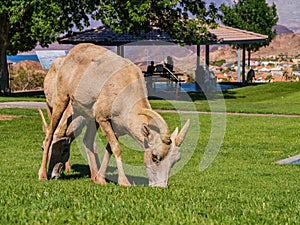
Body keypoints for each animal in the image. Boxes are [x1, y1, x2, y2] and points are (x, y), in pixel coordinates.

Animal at [39, 43, 190, 186]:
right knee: (50, 134)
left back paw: (93, 176)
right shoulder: (102, 119)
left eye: (176, 160)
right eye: (154, 156)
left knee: (86, 140)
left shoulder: (116, 127)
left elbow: (109, 149)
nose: (160, 186)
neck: (125, 89)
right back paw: (43, 175)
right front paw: (124, 182)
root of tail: (71, 54)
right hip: (61, 101)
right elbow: (116, 148)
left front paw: (100, 179)